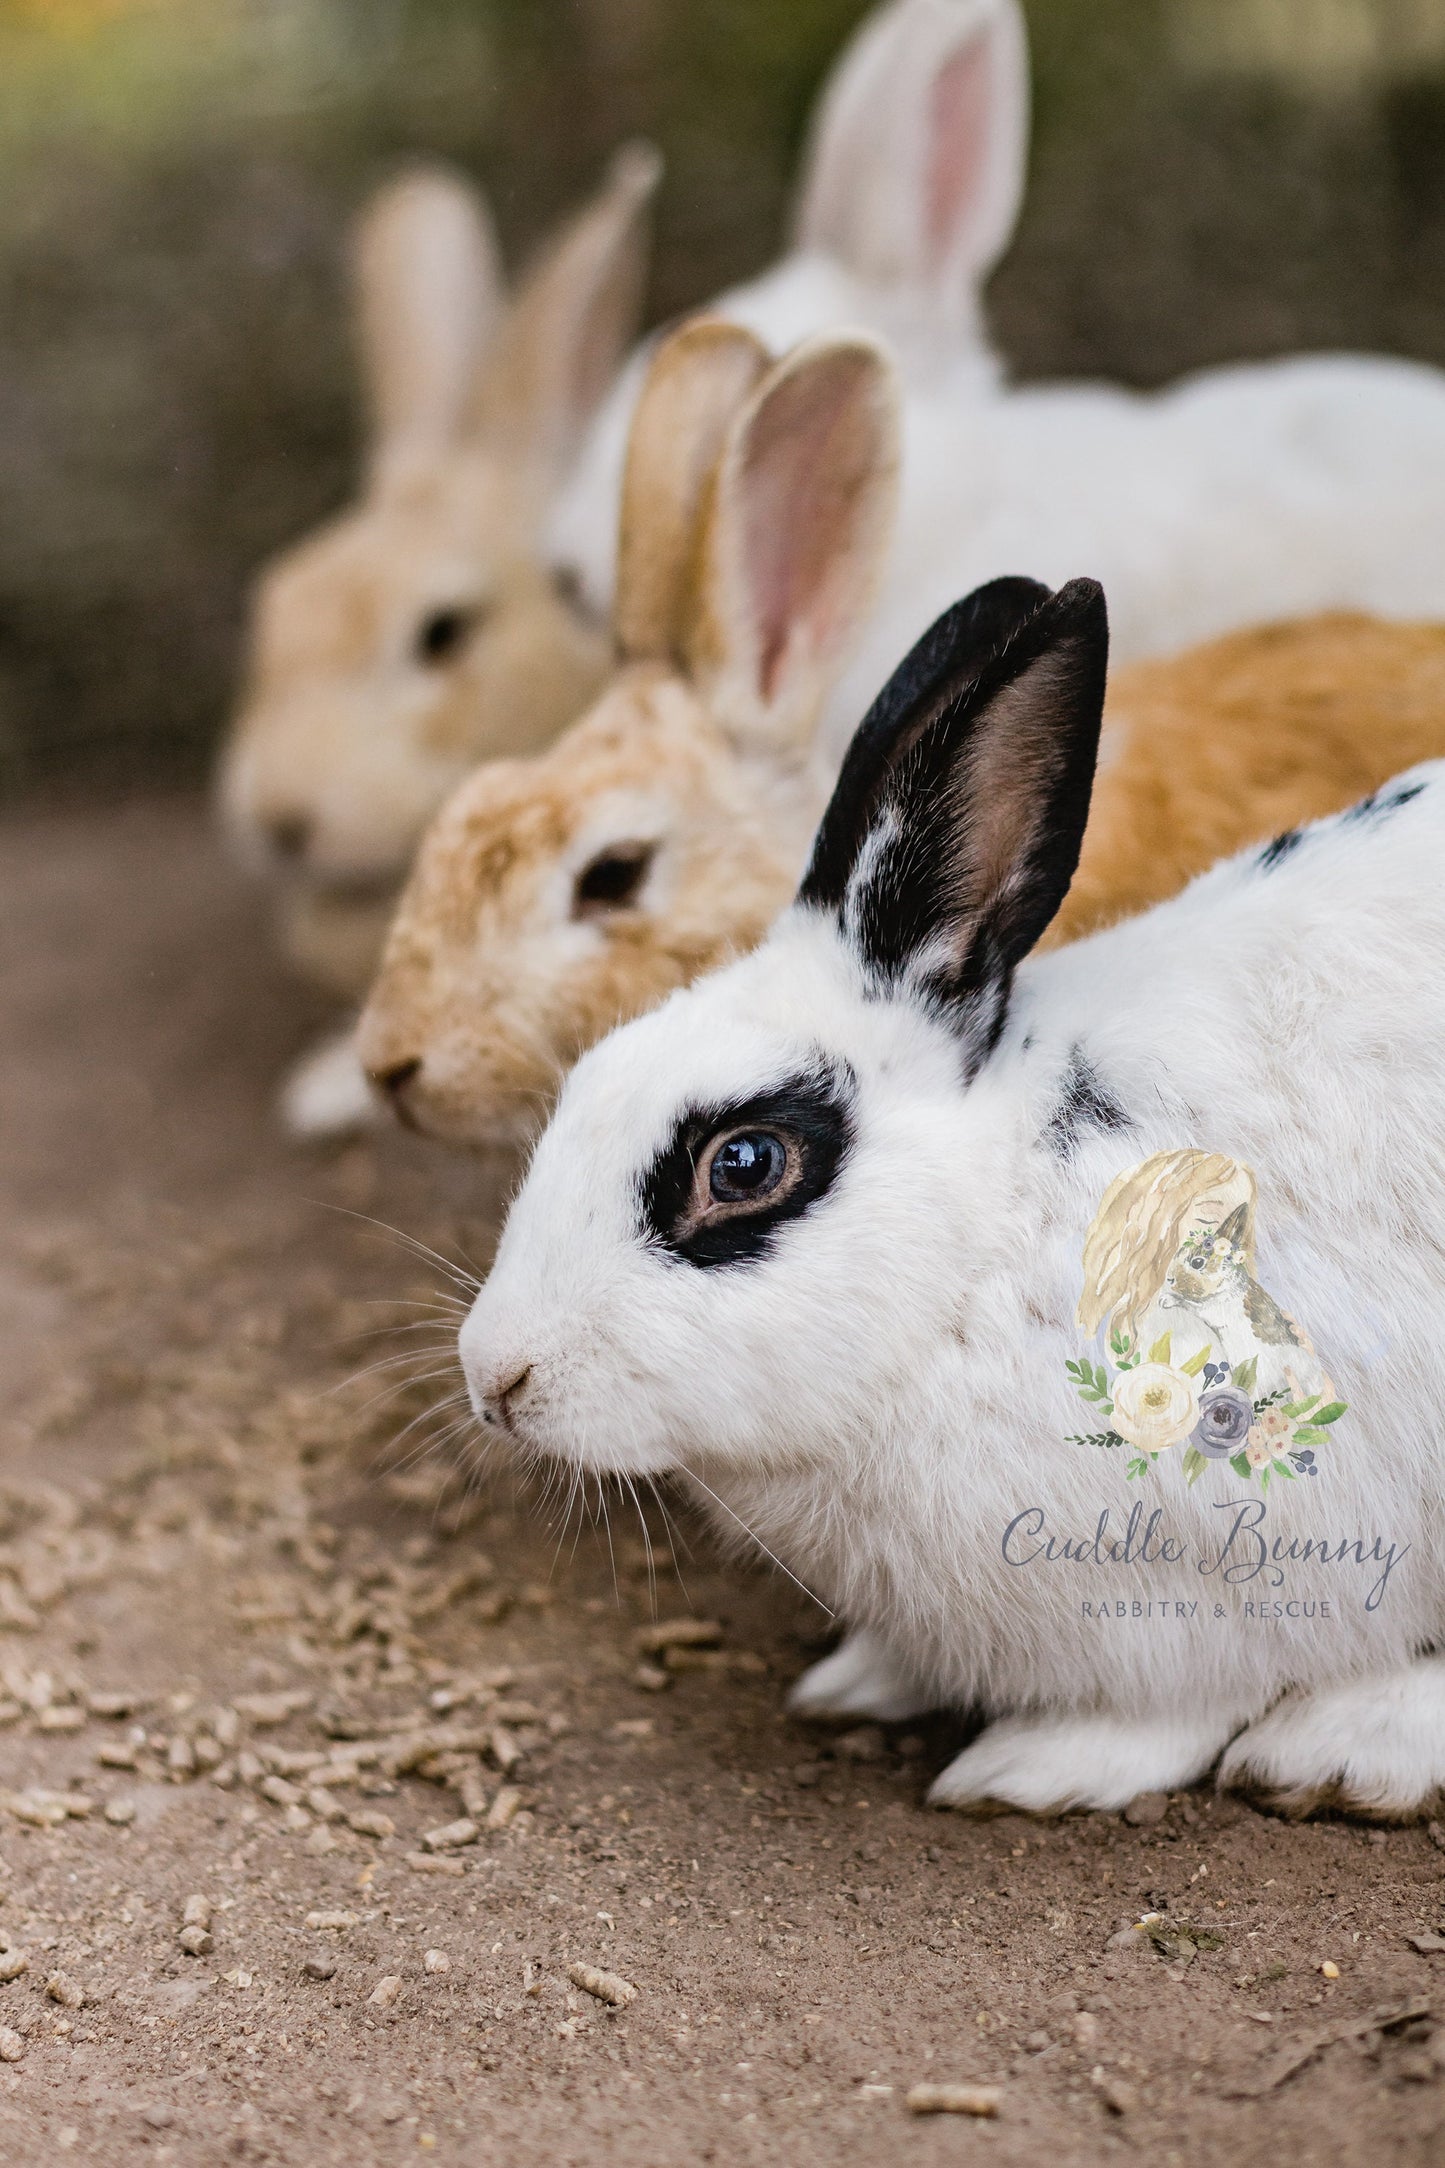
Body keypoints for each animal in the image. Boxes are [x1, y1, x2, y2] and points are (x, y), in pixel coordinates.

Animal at [454, 573, 1445, 1820]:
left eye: (743, 1163)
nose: (495, 1374)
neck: (989, 1237)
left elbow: (1172, 1705)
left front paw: (1030, 1767)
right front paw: (859, 1681)